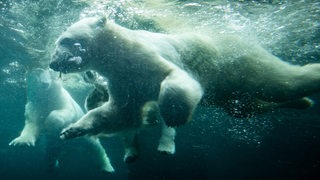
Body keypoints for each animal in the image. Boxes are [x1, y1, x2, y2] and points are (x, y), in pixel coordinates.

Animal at [49, 16, 318, 140]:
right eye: (57, 42)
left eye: (64, 40)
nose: (52, 63)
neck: (121, 54)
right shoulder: (124, 81)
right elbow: (120, 112)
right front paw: (71, 130)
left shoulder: (146, 56)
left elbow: (176, 78)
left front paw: (175, 115)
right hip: (228, 91)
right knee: (246, 107)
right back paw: (303, 103)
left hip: (238, 63)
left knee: (278, 82)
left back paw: (313, 74)